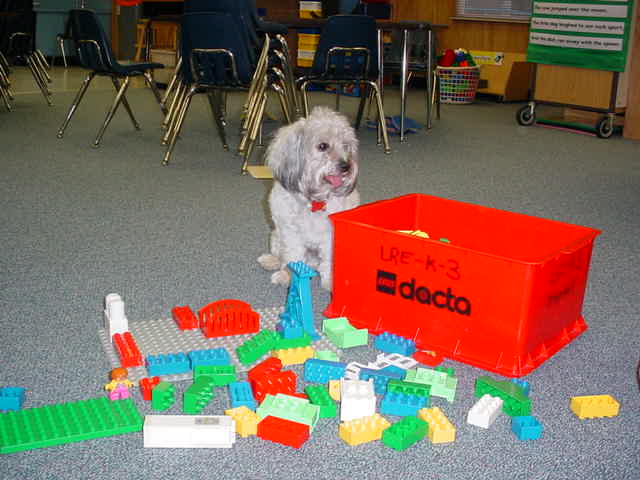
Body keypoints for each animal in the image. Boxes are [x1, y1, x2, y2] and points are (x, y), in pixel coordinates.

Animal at [258, 107, 360, 290]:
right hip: (276, 236)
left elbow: (329, 261)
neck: (314, 200)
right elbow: (292, 257)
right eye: (323, 146)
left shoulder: (330, 236)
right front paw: (289, 276)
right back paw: (272, 261)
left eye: (346, 146)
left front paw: (330, 281)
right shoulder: (290, 233)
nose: (346, 166)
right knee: (281, 255)